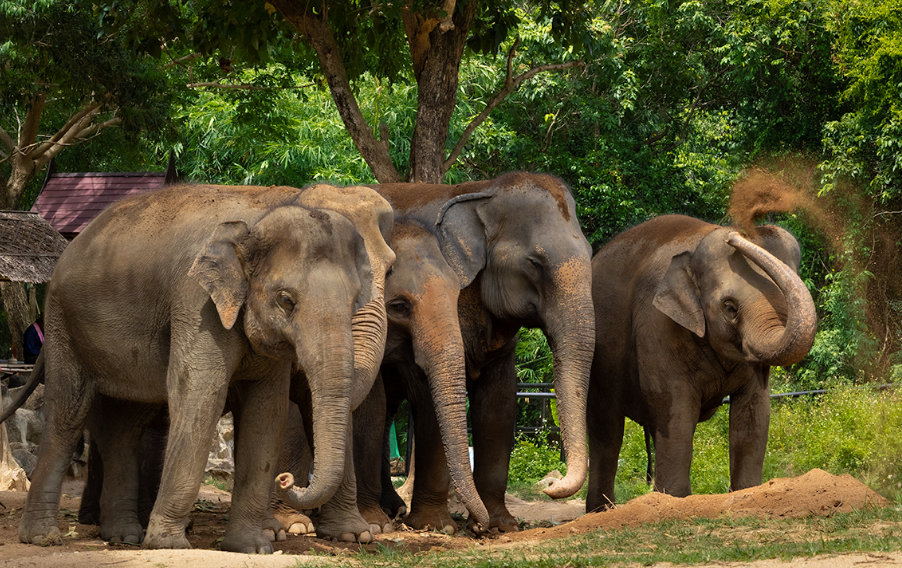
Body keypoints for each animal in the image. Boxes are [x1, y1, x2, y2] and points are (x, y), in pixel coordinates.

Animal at [1, 183, 394, 553]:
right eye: (286, 300)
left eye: (354, 298)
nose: (287, 480)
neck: (257, 219)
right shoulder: (196, 301)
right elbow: (201, 395)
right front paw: (169, 544)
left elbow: (267, 412)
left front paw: (254, 546)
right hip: (63, 324)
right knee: (68, 414)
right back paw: (45, 537)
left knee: (124, 427)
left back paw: (123, 536)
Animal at [363, 172, 595, 532]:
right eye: (535, 262)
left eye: (591, 252)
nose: (552, 486)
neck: (482, 193)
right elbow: (431, 396)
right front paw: (437, 526)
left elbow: (500, 402)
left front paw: (500, 526)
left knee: (387, 405)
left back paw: (391, 509)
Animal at [586, 214, 817, 511]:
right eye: (729, 307)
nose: (736, 235)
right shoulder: (657, 324)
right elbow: (675, 406)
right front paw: (671, 502)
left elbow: (754, 411)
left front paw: (748, 493)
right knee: (607, 430)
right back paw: (601, 511)